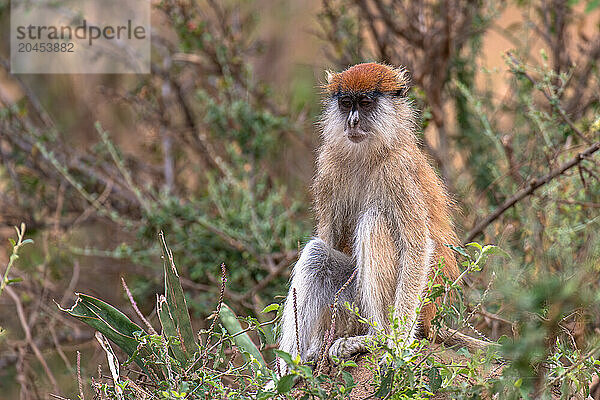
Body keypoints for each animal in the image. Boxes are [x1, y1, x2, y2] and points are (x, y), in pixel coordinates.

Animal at [276, 62, 460, 372]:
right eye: (346, 103)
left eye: (364, 103)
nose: (352, 122)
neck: (368, 153)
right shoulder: (328, 167)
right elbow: (328, 240)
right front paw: (313, 347)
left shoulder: (397, 172)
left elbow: (417, 247)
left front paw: (397, 346)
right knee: (317, 255)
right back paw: (289, 370)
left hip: (417, 309)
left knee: (374, 222)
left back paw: (375, 338)